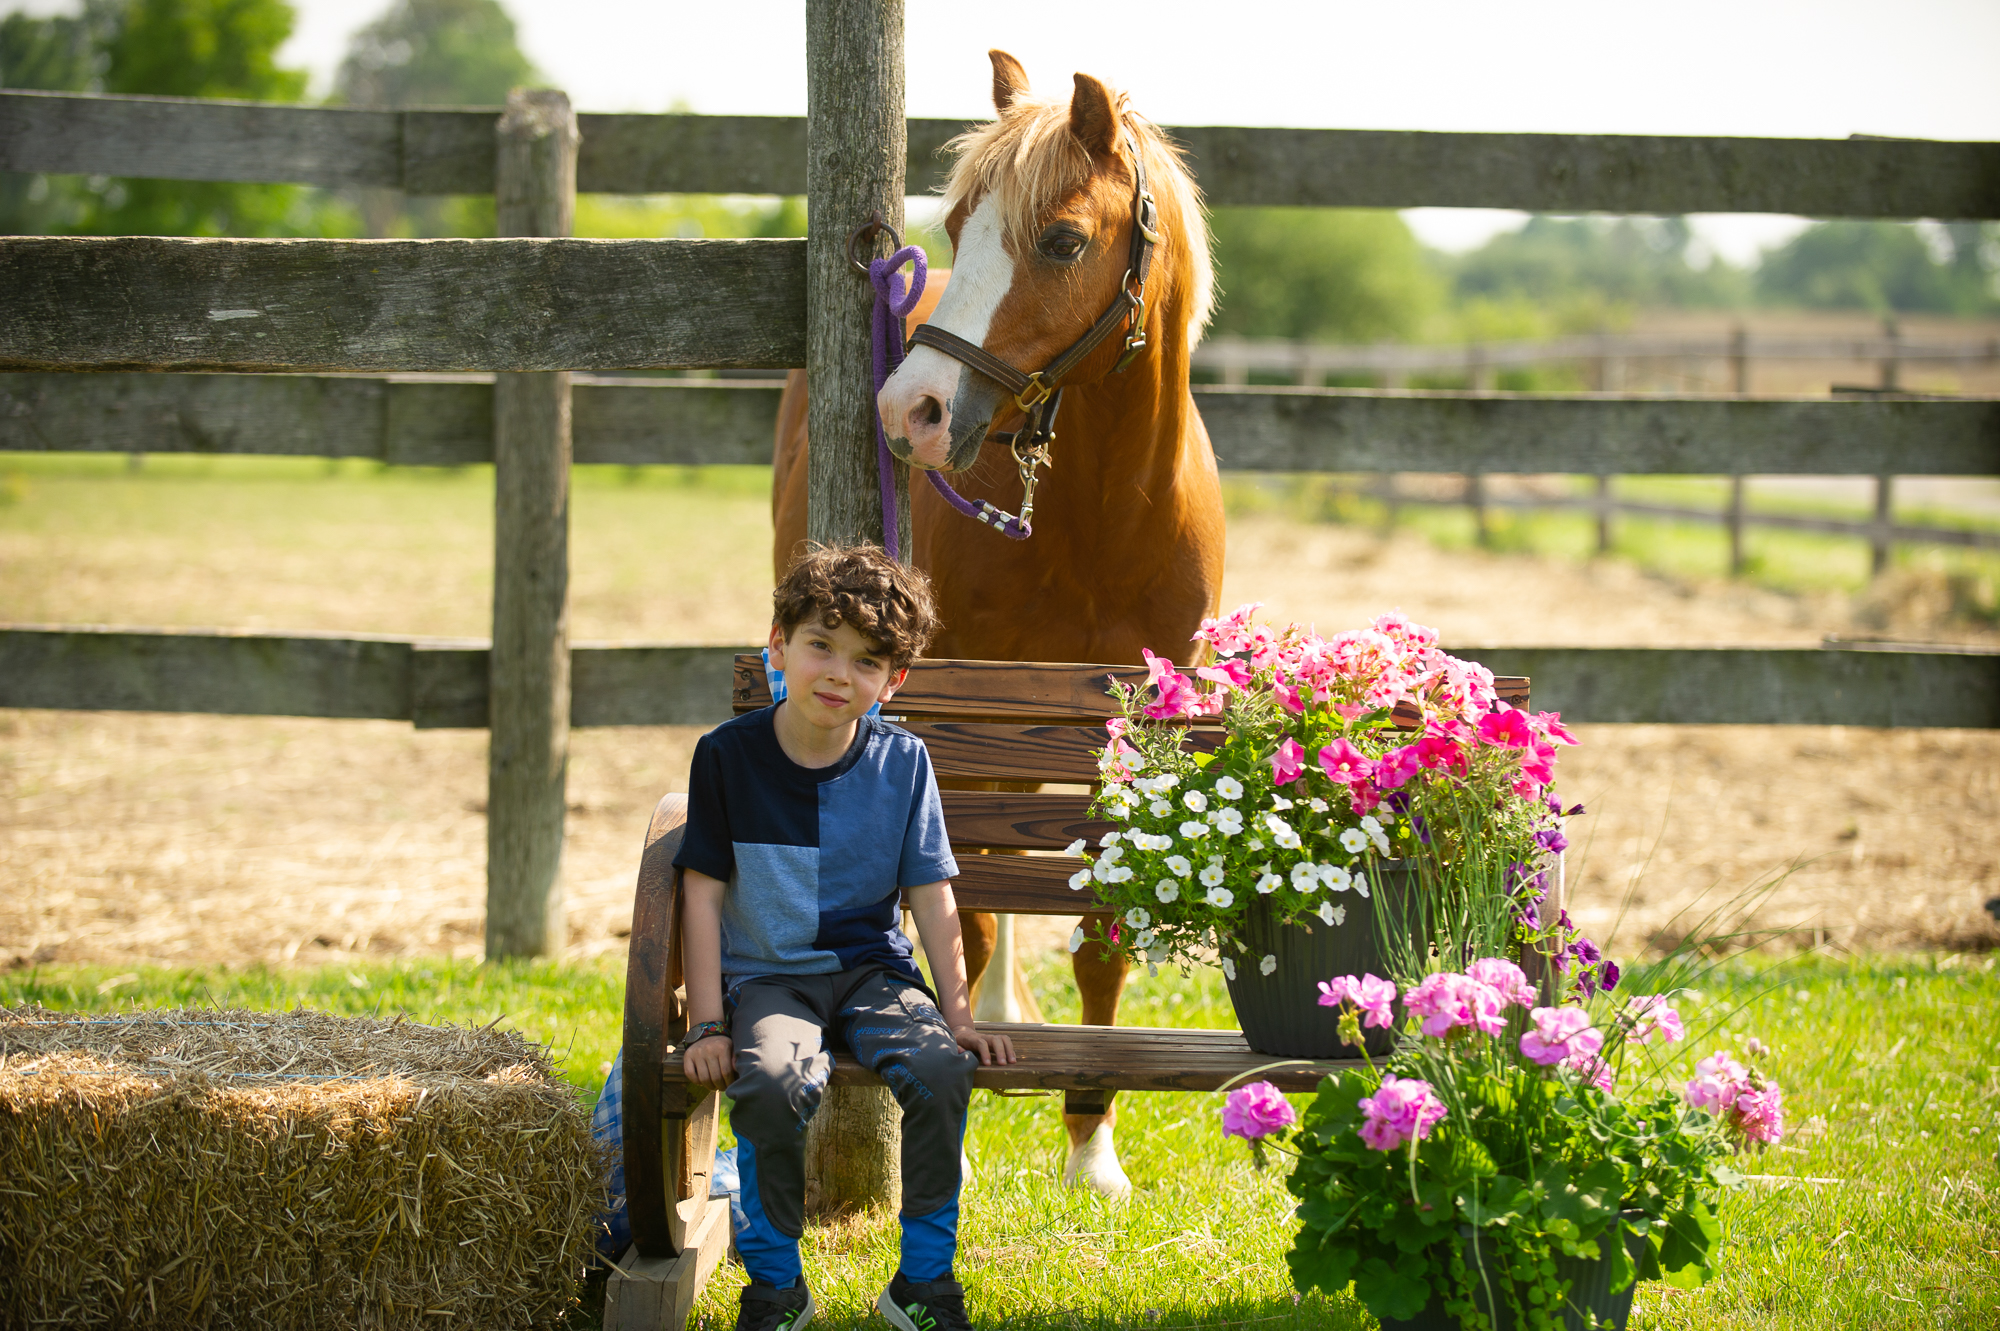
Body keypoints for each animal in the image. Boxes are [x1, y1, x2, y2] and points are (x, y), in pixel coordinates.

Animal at [772, 51, 1224, 1191]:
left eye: (1061, 240)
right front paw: (958, 1126)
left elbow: (1098, 927)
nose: (912, 409)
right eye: (959, 220)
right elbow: (964, 913)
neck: (1100, 514)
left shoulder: (1128, 731)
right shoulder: (959, 719)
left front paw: (1091, 1144)